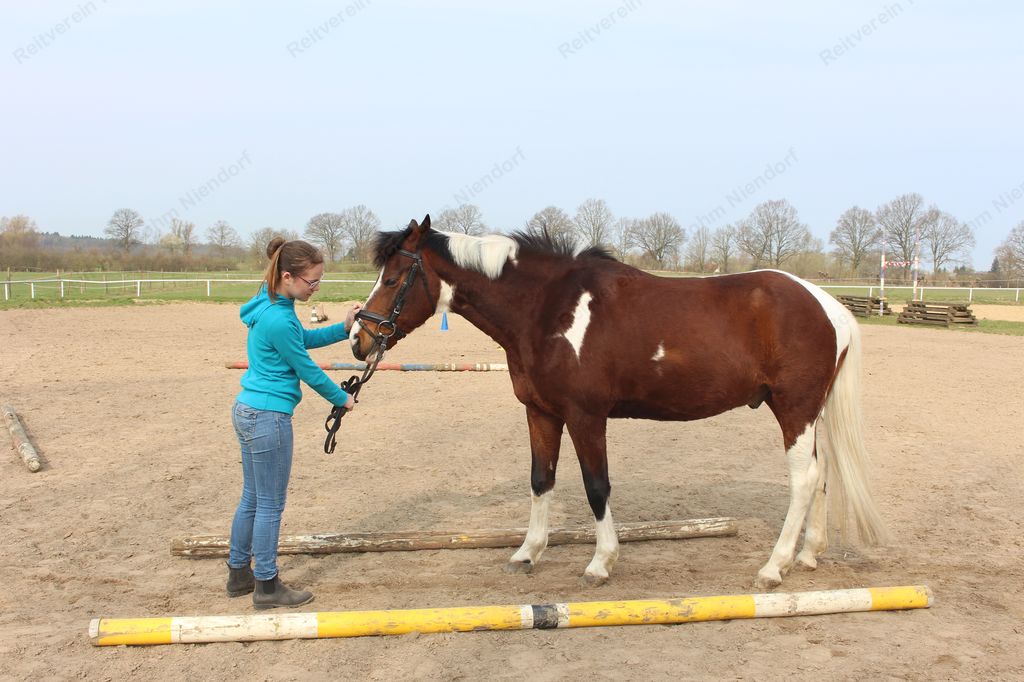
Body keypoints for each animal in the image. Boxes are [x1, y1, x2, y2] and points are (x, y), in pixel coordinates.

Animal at [350, 215, 887, 589]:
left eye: (394, 279)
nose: (359, 340)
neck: (547, 308)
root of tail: (827, 304)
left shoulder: (586, 416)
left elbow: (596, 486)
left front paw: (600, 563)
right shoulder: (541, 412)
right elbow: (541, 480)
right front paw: (528, 553)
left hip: (793, 408)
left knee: (804, 479)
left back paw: (774, 567)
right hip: (810, 413)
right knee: (821, 475)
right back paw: (808, 554)